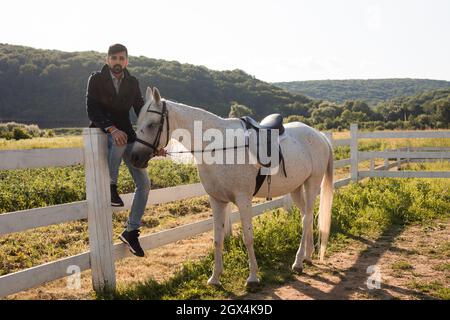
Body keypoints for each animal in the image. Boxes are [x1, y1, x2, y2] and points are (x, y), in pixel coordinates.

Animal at [128, 87, 332, 288]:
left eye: (152, 124)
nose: (135, 158)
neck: (219, 147)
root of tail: (319, 135)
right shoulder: (217, 200)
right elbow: (217, 239)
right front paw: (215, 278)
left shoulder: (243, 200)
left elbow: (248, 238)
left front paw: (253, 277)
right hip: (297, 188)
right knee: (306, 216)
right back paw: (307, 256)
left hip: (312, 183)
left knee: (306, 219)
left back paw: (298, 262)